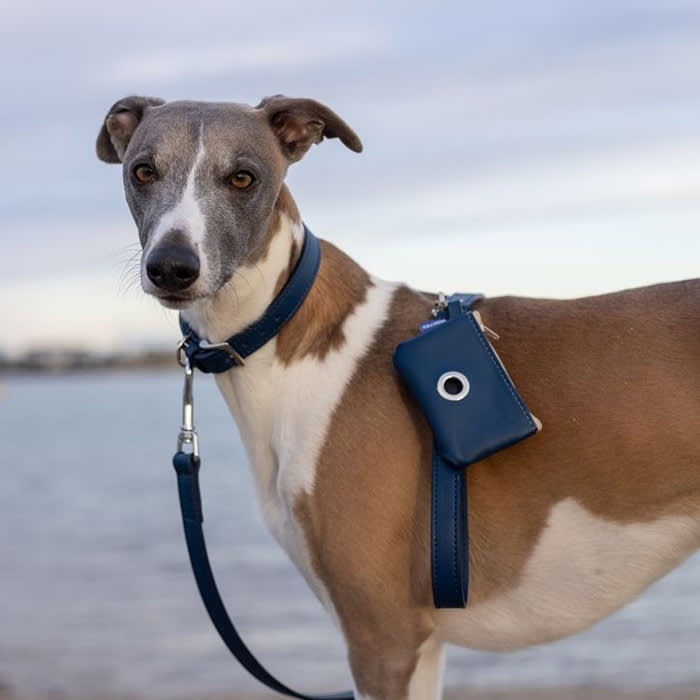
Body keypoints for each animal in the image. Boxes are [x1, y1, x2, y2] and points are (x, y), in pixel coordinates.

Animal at [95, 97, 700, 700]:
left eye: (243, 177)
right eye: (142, 171)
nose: (172, 268)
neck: (295, 337)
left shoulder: (383, 637)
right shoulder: (419, 643)